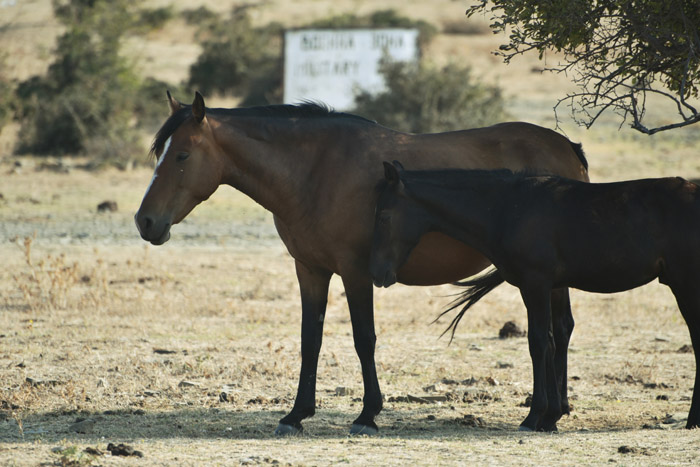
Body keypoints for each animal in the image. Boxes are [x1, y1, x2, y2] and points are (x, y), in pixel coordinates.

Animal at [134, 91, 588, 436]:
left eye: (182, 156)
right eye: (161, 154)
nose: (145, 221)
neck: (315, 171)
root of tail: (568, 148)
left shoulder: (356, 273)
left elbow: (363, 339)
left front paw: (368, 414)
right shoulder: (310, 270)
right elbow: (310, 341)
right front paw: (296, 414)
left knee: (555, 331)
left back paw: (545, 414)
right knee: (562, 328)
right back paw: (556, 410)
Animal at [372, 161, 700, 432]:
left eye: (384, 216)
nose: (377, 274)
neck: (506, 208)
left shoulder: (535, 284)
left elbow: (538, 342)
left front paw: (534, 417)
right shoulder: (552, 287)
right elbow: (553, 341)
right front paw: (551, 416)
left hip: (685, 284)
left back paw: (693, 418)